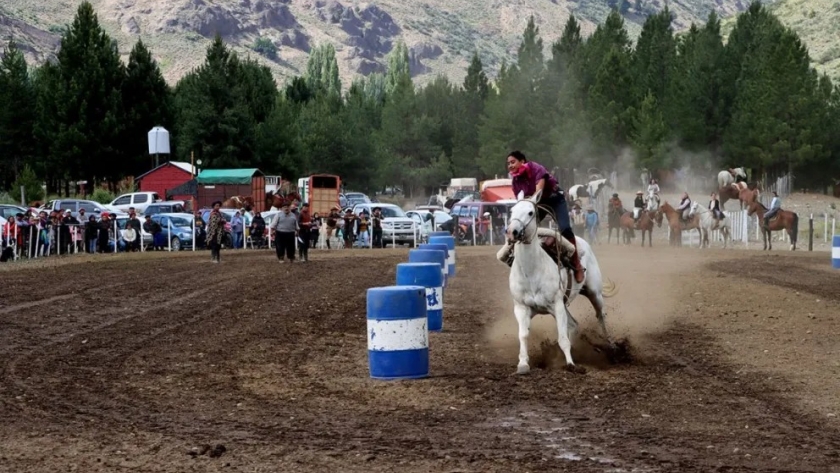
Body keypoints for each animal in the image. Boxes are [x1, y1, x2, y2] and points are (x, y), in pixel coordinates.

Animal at [498, 190, 616, 374]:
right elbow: (523, 335)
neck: (531, 271)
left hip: (594, 293)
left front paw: (571, 364)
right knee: (574, 325)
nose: (512, 232)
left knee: (600, 316)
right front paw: (523, 364)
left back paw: (610, 345)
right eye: (511, 211)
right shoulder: (522, 308)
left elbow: (562, 337)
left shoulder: (557, 305)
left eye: (530, 212)